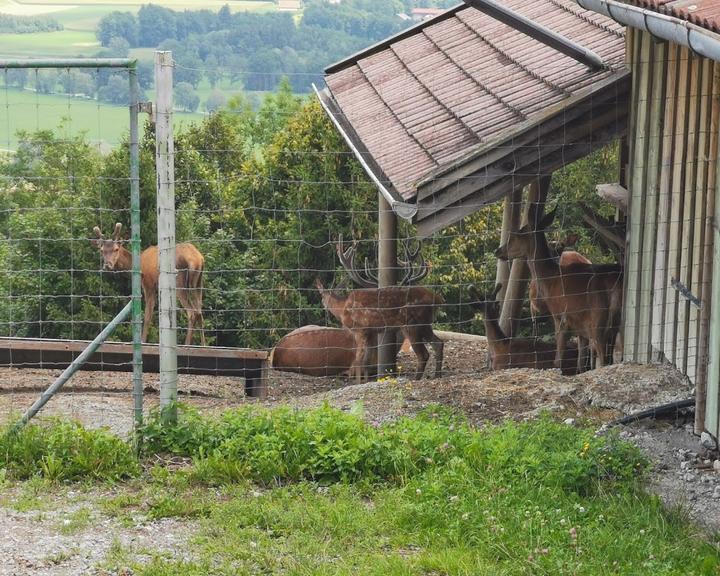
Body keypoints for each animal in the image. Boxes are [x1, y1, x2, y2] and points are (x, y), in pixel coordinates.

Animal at [316, 280, 444, 382]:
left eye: (321, 295)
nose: (323, 305)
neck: (342, 308)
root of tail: (437, 299)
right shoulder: (371, 332)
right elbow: (367, 359)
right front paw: (366, 381)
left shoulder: (360, 329)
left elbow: (358, 358)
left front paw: (357, 382)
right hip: (425, 323)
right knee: (439, 343)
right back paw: (437, 375)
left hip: (411, 324)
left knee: (423, 354)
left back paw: (416, 378)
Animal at [498, 205, 620, 372]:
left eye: (519, 233)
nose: (499, 251)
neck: (551, 279)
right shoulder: (581, 328)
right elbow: (580, 363)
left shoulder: (561, 317)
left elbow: (557, 360)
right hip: (614, 325)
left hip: (599, 322)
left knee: (602, 358)